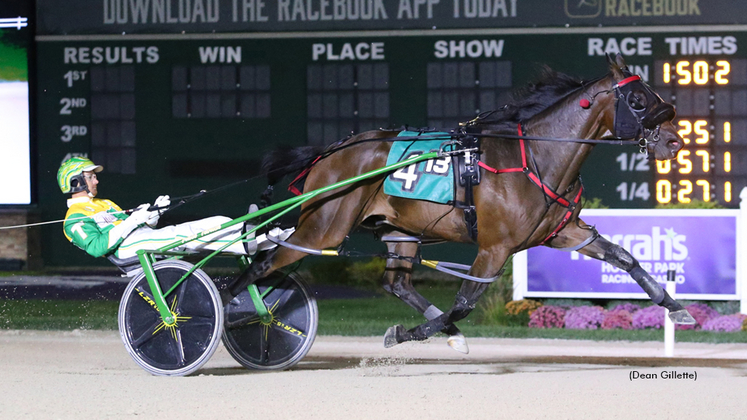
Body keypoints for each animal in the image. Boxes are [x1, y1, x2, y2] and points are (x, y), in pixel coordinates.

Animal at [232, 55, 696, 352]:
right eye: (638, 100)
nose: (675, 141)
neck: (537, 155)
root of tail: (330, 150)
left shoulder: (565, 232)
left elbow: (625, 257)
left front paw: (678, 310)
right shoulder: (494, 248)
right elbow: (465, 302)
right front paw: (407, 334)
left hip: (401, 231)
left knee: (396, 283)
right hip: (323, 227)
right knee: (262, 264)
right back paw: (228, 308)